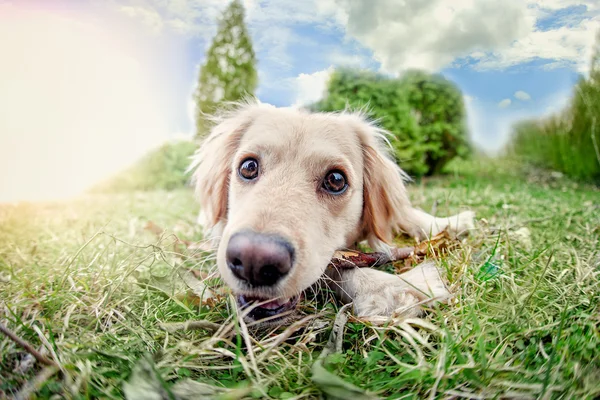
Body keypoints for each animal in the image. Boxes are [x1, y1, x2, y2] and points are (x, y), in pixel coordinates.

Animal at [191, 100, 474, 324]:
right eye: (248, 166)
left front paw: (451, 223)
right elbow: (337, 268)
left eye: (336, 180)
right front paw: (390, 286)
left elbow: (407, 214)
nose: (254, 262)